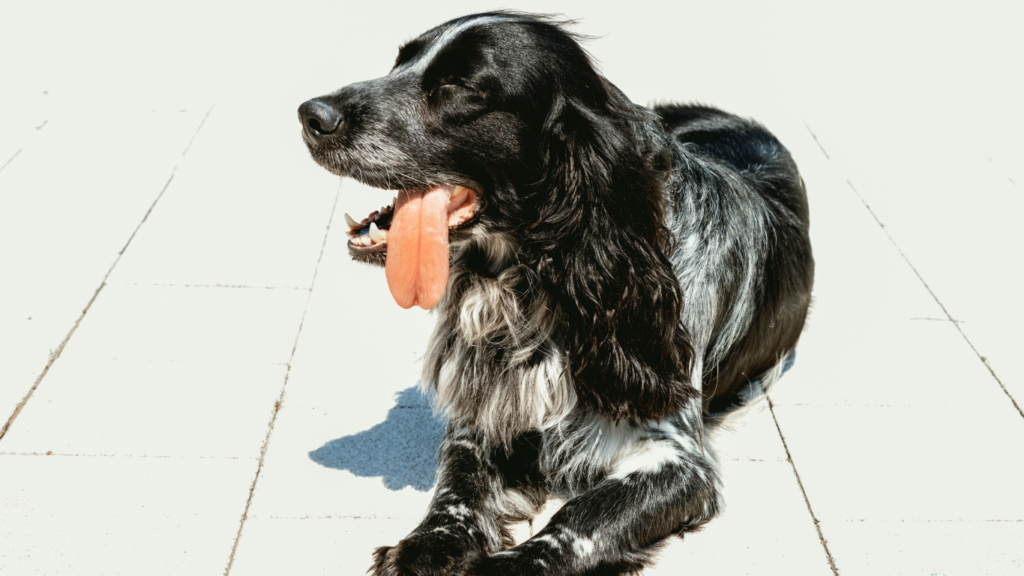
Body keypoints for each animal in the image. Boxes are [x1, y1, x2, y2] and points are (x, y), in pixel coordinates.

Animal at [299, 10, 815, 573]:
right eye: (399, 63)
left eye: (460, 85)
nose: (311, 114)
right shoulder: (486, 411)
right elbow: (457, 484)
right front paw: (428, 542)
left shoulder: (678, 458)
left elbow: (584, 517)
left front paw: (507, 565)